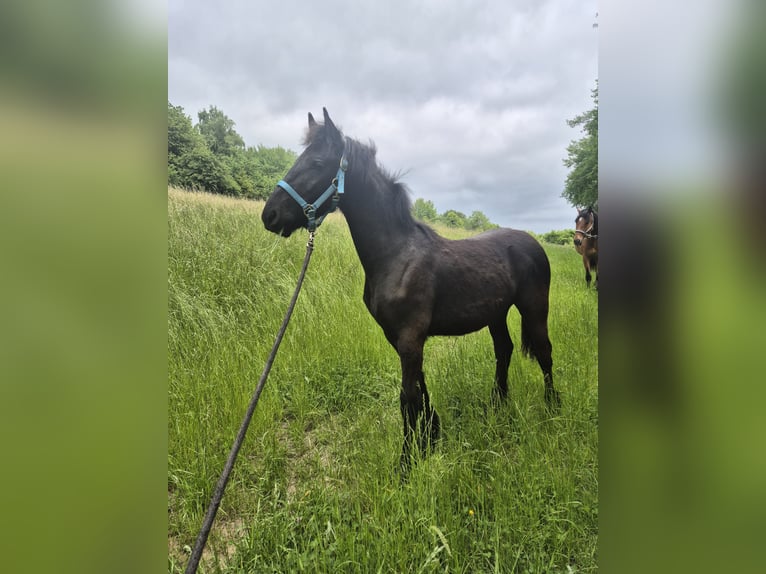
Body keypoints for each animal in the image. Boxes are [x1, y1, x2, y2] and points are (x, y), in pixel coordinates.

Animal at [262, 109, 558, 470]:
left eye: (317, 162)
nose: (270, 215)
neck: (397, 255)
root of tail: (533, 241)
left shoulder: (409, 338)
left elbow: (407, 397)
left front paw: (406, 462)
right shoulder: (399, 338)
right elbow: (420, 387)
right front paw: (431, 438)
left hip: (535, 308)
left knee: (544, 352)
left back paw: (552, 409)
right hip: (496, 314)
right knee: (504, 350)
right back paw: (497, 405)